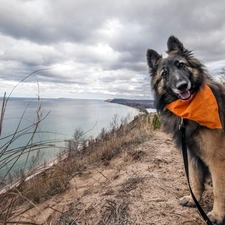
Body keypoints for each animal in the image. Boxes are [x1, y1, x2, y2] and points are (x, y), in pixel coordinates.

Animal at [147, 36, 225, 224]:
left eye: (181, 65)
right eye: (164, 73)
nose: (182, 86)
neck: (189, 110)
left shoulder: (217, 159)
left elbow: (219, 190)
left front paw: (217, 215)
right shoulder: (190, 154)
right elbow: (194, 180)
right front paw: (193, 199)